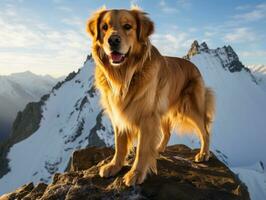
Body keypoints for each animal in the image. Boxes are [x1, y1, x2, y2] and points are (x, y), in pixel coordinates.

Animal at [86, 7, 215, 186]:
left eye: (127, 26)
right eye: (104, 27)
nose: (113, 41)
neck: (126, 75)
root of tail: (194, 66)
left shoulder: (147, 116)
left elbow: (142, 148)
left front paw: (136, 173)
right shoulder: (119, 114)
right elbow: (120, 144)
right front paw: (114, 165)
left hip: (190, 107)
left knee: (205, 131)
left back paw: (203, 153)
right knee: (167, 132)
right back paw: (159, 148)